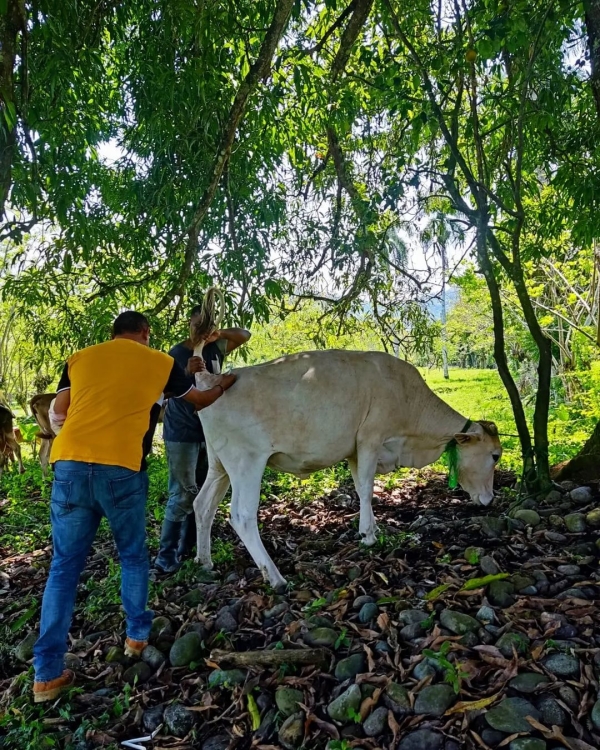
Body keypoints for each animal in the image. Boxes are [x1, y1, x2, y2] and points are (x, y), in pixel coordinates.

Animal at [193, 352, 502, 592]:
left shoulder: (355, 450)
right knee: (242, 516)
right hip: (246, 461)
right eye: (495, 456)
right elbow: (366, 487)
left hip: (219, 465)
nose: (490, 499)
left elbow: (359, 484)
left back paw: (204, 562)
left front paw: (372, 527)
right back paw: (276, 578)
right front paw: (368, 535)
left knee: (202, 505)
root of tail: (213, 379)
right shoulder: (370, 438)